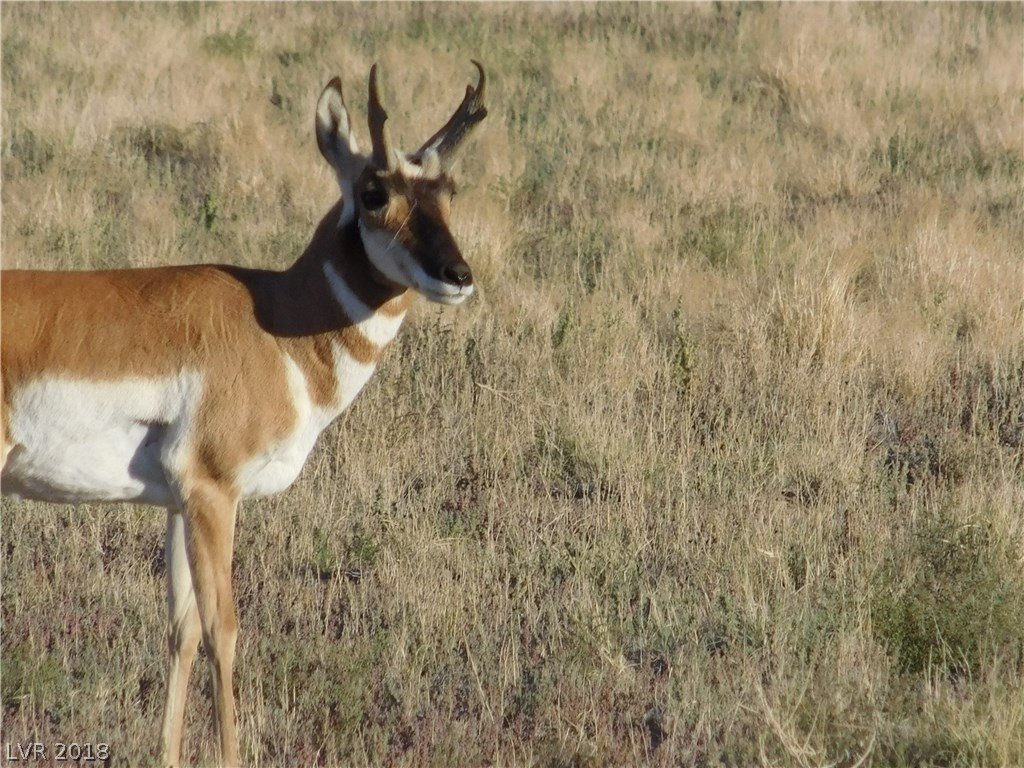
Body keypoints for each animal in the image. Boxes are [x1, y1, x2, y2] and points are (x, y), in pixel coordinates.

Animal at [0, 61, 487, 766]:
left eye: (448, 189)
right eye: (374, 192)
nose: (458, 274)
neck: (275, 320)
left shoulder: (177, 504)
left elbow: (181, 631)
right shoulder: (213, 493)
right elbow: (223, 629)